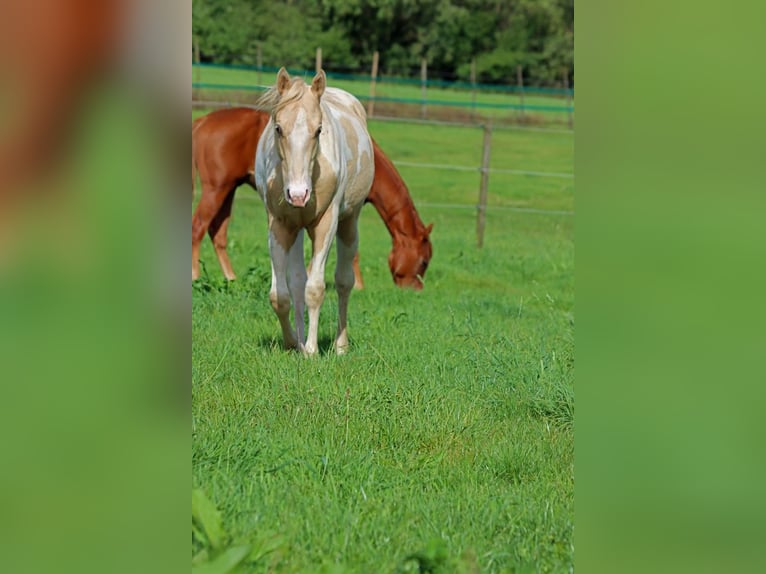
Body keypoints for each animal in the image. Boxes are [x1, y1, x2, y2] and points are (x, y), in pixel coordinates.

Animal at [192, 106, 436, 290]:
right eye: (424, 262)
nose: (415, 289)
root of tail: (203, 121)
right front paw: (357, 285)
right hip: (216, 189)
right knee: (199, 227)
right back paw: (195, 276)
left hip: (228, 189)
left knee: (217, 233)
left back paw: (231, 278)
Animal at [255, 67, 376, 356]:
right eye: (278, 128)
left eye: (319, 130)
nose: (298, 195)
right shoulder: (278, 225)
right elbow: (281, 295)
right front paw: (293, 343)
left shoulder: (326, 223)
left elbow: (316, 288)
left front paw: (311, 350)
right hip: (296, 229)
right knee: (298, 281)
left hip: (349, 223)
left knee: (344, 281)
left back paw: (340, 345)